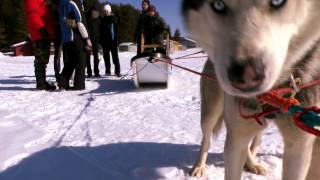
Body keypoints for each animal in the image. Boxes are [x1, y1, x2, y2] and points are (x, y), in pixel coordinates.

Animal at [182, 0, 320, 179]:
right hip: (212, 112)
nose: (246, 77)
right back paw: (200, 166)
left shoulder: (300, 144)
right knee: (207, 139)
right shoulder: (236, 136)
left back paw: (252, 163)